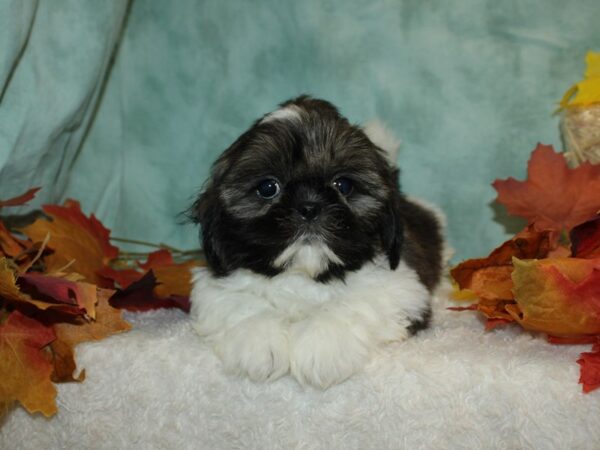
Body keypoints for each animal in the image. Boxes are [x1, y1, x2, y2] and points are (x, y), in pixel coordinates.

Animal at [190, 96, 442, 388]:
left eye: (343, 185)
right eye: (268, 188)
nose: (309, 206)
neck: (304, 275)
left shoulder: (401, 289)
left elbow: (352, 304)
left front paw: (322, 348)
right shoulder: (215, 286)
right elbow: (242, 303)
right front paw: (260, 345)